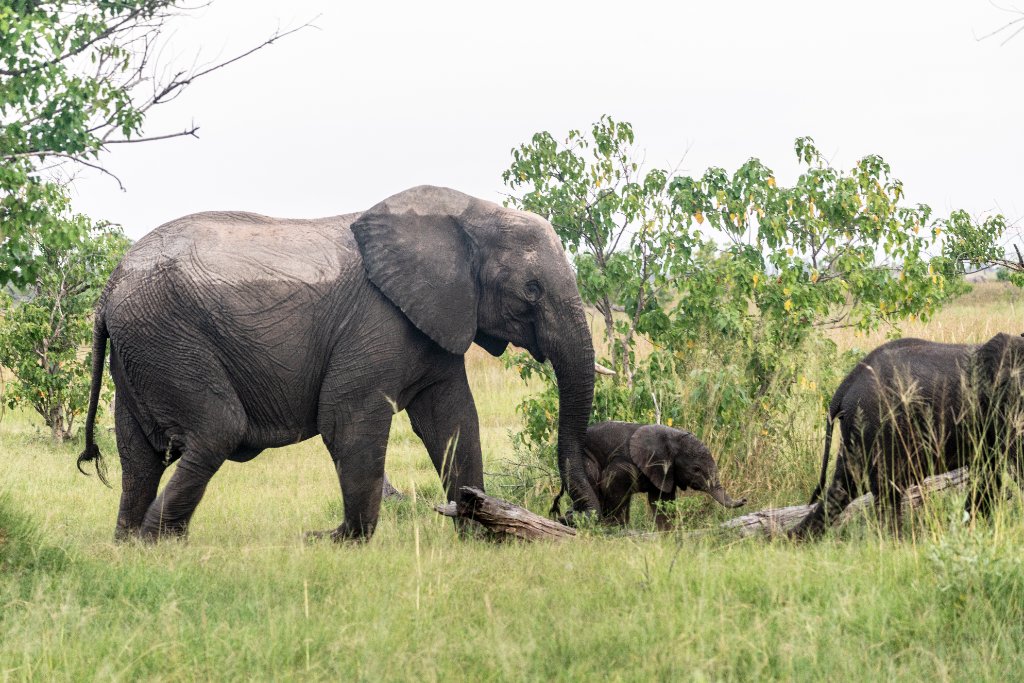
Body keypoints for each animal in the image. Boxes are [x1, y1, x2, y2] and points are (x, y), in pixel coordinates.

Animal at [76, 185, 599, 542]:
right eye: (531, 290)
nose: (576, 513)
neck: (472, 213)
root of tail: (107, 290)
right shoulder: (379, 320)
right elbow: (348, 420)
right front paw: (339, 542)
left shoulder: (436, 320)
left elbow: (453, 421)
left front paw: (478, 530)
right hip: (168, 337)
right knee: (215, 430)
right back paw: (157, 543)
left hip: (142, 349)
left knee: (139, 456)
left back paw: (130, 544)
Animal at [581, 421, 746, 529]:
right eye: (696, 469)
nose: (744, 500)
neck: (672, 437)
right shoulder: (624, 464)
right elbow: (615, 485)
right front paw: (616, 530)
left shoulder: (665, 472)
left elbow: (662, 501)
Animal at [790, 333, 1024, 539]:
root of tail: (845, 386)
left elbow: (989, 475)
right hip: (878, 423)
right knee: (886, 489)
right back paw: (896, 543)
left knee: (843, 488)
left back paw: (793, 540)